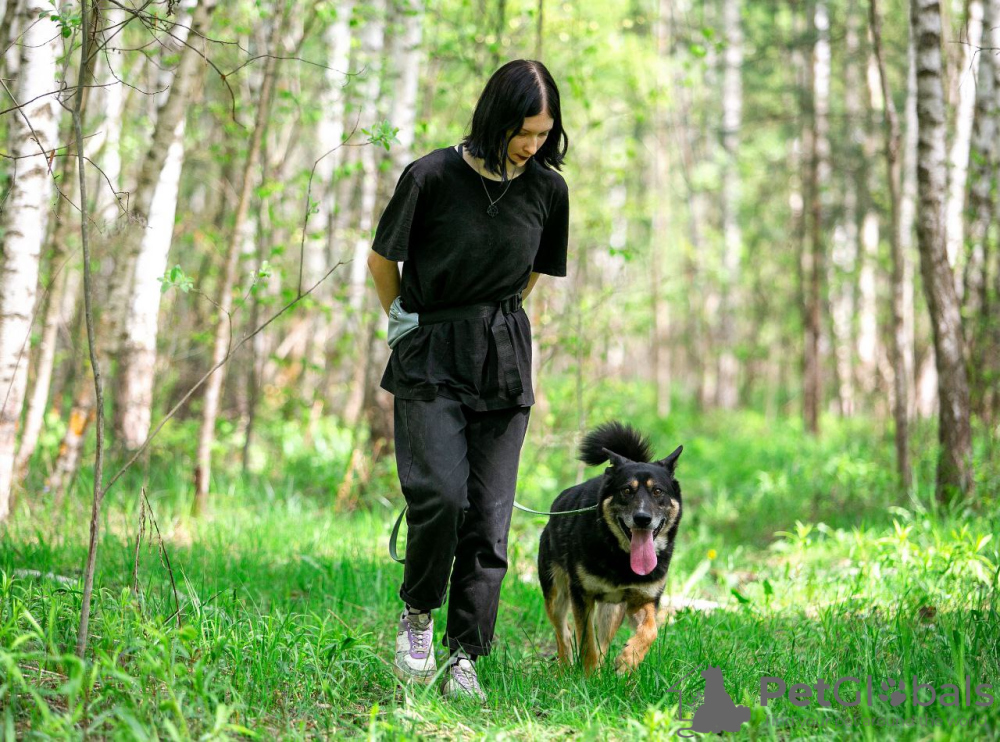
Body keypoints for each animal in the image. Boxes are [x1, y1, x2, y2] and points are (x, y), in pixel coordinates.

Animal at [537, 421, 683, 674]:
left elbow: (650, 631)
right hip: (556, 592)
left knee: (602, 642)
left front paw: (628, 659)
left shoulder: (643, 599)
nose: (642, 519)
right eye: (627, 490)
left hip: (612, 610)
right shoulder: (581, 595)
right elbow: (586, 641)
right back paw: (566, 668)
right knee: (562, 632)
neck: (621, 558)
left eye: (657, 491)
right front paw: (586, 676)